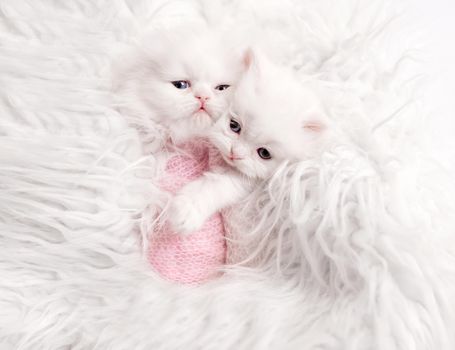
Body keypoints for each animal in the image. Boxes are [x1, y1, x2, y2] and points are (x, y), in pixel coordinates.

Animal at [169, 49, 330, 234]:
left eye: (264, 153)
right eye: (234, 126)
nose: (234, 153)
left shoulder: (245, 178)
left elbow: (216, 187)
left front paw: (185, 210)